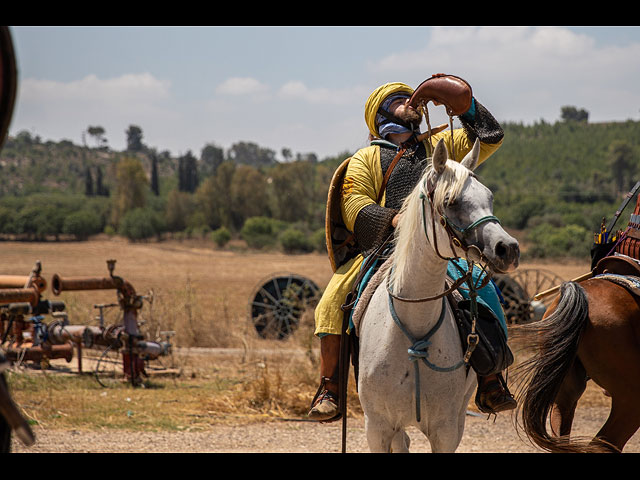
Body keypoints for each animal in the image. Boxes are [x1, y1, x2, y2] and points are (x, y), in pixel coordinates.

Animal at [356, 137, 520, 452]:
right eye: (451, 202)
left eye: (489, 198)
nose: (508, 249)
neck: (414, 324)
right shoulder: (377, 428)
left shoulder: (446, 431)